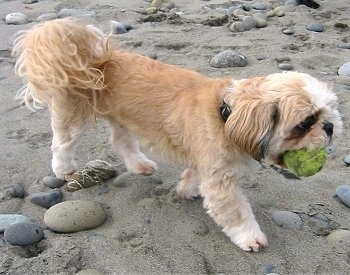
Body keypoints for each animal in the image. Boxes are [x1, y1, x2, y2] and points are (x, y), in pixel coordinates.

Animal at [12, 18, 344, 253]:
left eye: (329, 111)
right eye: (306, 122)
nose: (329, 127)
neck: (227, 114)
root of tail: (97, 60)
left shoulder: (207, 161)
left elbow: (194, 175)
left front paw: (187, 189)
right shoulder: (221, 181)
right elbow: (235, 212)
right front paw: (250, 237)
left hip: (123, 120)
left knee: (121, 142)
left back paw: (140, 165)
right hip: (74, 114)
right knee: (62, 142)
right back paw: (64, 169)